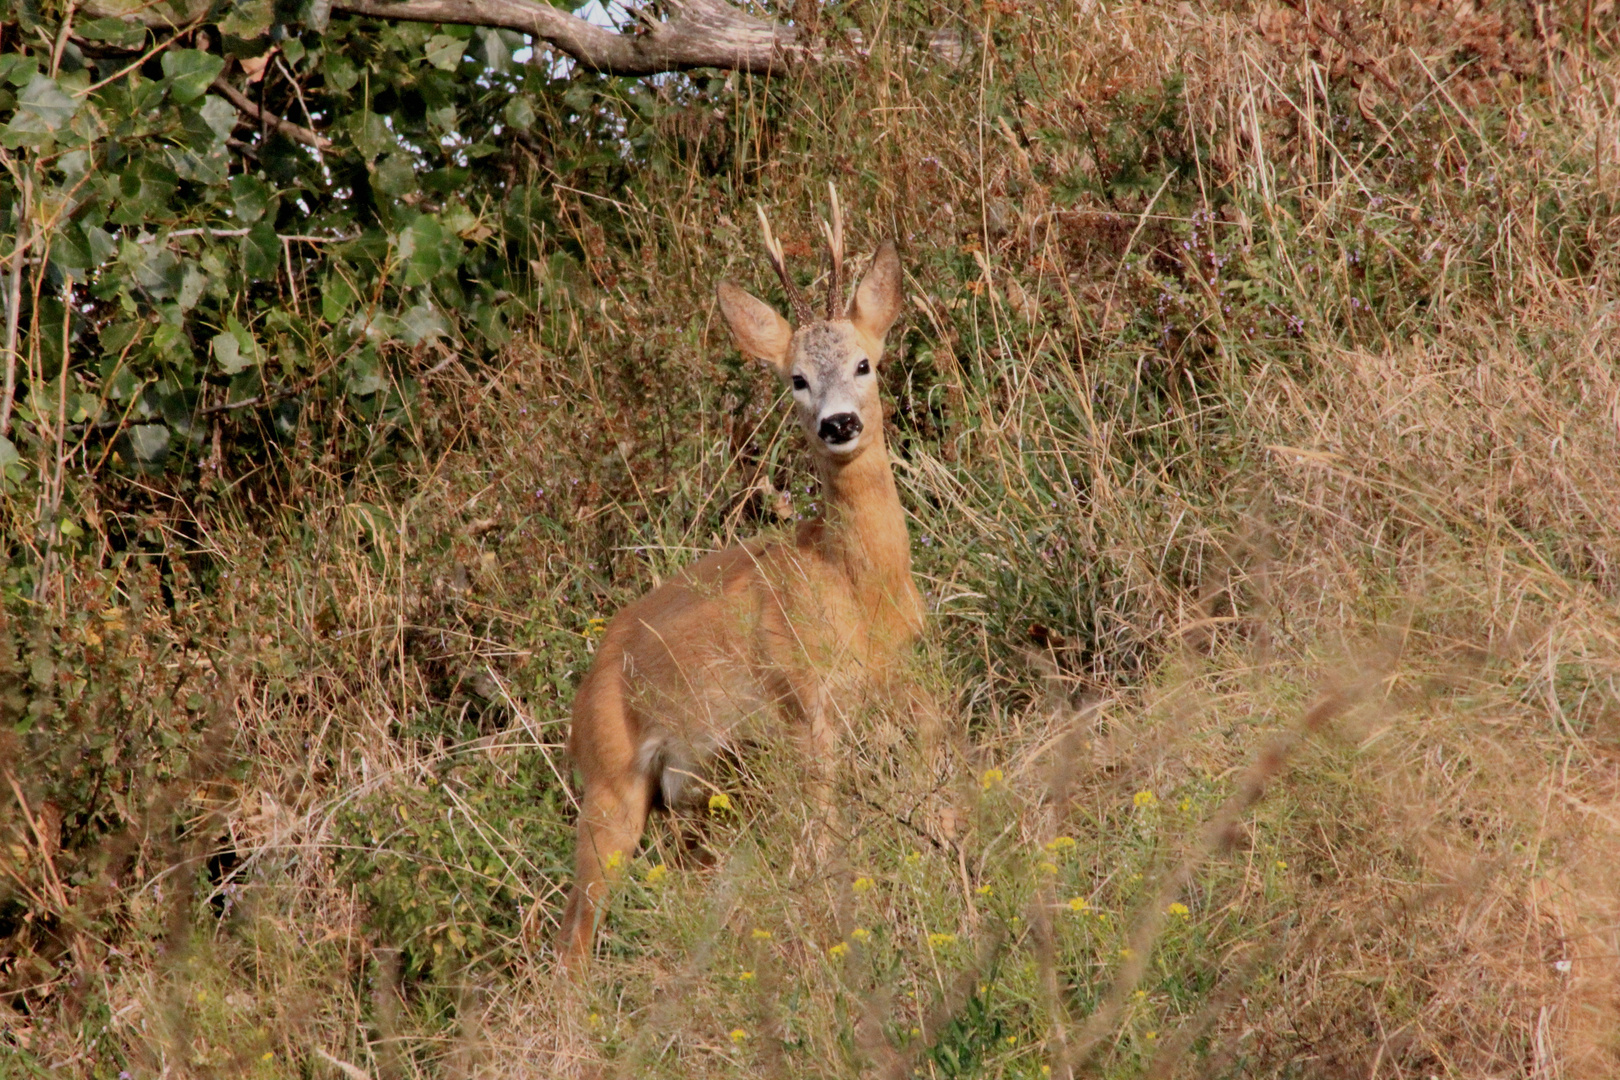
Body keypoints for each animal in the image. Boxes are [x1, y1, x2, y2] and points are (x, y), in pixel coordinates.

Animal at [557, 194, 920, 965]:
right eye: (796, 379)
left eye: (865, 362)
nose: (838, 424)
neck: (854, 585)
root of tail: (583, 690)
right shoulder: (804, 706)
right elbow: (827, 843)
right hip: (610, 785)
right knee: (572, 940)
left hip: (700, 797)